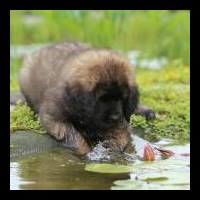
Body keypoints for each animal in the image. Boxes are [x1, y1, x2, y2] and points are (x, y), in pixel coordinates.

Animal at [19, 42, 152, 155]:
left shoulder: (121, 120)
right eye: (102, 99)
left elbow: (120, 134)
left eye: (122, 98)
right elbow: (71, 134)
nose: (115, 117)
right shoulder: (52, 116)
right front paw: (85, 151)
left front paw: (110, 149)